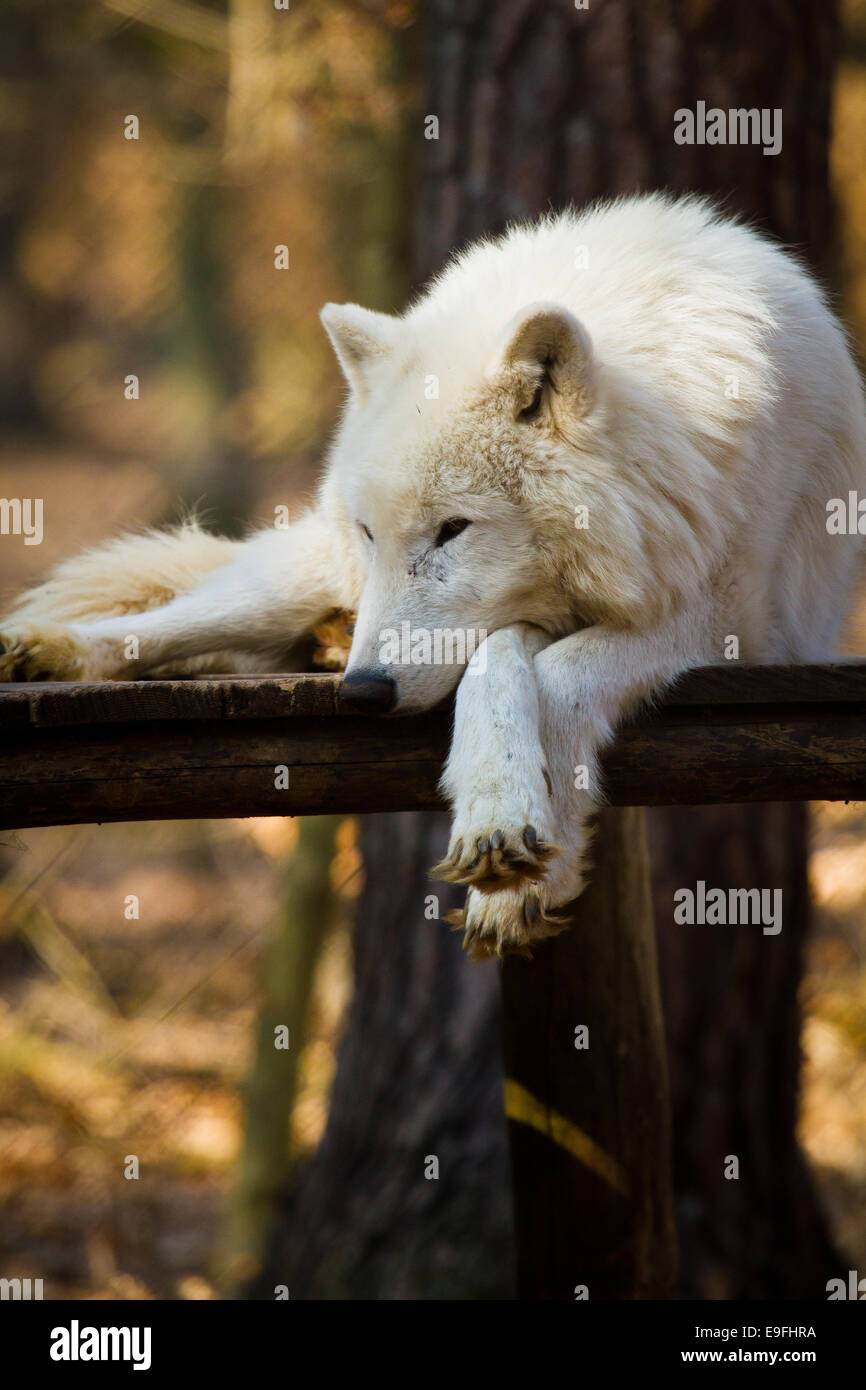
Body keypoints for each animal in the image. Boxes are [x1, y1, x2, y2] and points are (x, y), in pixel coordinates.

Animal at [1, 195, 866, 956]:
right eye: (372, 532)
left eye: (453, 530)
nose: (361, 693)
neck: (664, 445)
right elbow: (506, 658)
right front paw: (504, 831)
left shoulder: (728, 621)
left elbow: (542, 675)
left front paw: (520, 870)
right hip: (305, 578)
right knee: (182, 618)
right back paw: (52, 649)